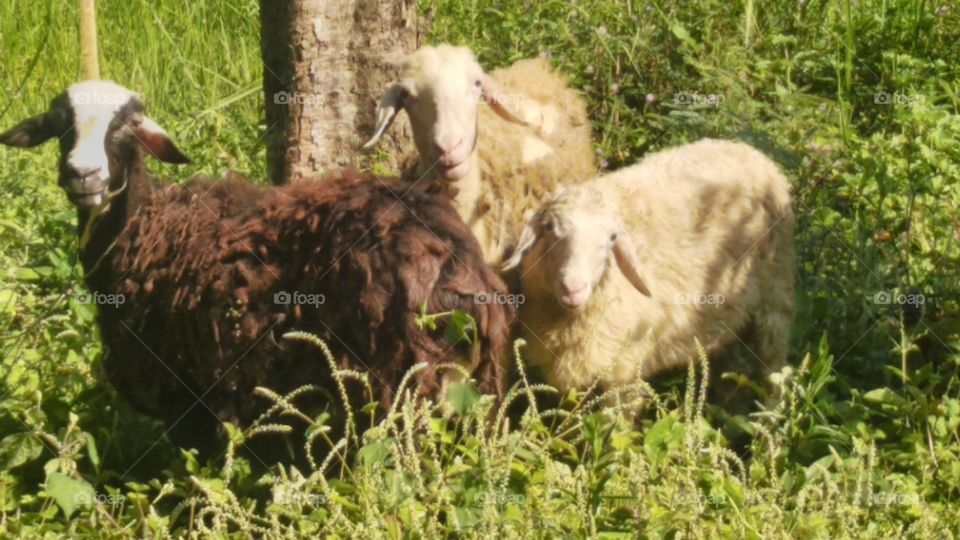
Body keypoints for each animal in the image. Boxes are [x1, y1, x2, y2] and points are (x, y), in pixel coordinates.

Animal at [1, 80, 515, 458]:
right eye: (60, 125)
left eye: (126, 126)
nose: (82, 176)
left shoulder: (193, 396)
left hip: (393, 385)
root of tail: (453, 262)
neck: (150, 226)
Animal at [502, 139, 795, 396]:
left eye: (611, 238)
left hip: (776, 293)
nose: (573, 289)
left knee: (775, 364)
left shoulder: (626, 370)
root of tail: (749, 151)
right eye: (549, 228)